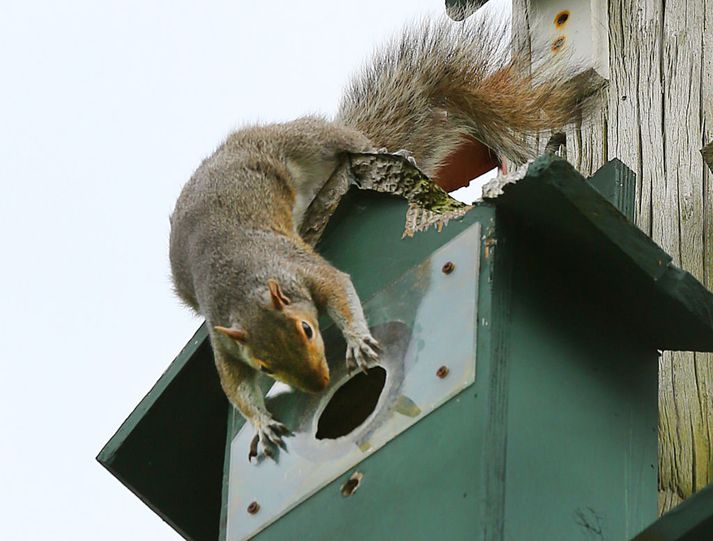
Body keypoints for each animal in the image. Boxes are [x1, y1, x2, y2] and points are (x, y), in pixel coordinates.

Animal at [168, 14, 588, 460]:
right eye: (265, 365)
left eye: (308, 331)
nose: (320, 384)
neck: (243, 285)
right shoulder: (225, 341)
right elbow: (236, 388)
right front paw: (262, 425)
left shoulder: (302, 268)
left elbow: (339, 287)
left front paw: (357, 341)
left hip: (307, 143)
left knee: (352, 142)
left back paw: (389, 151)